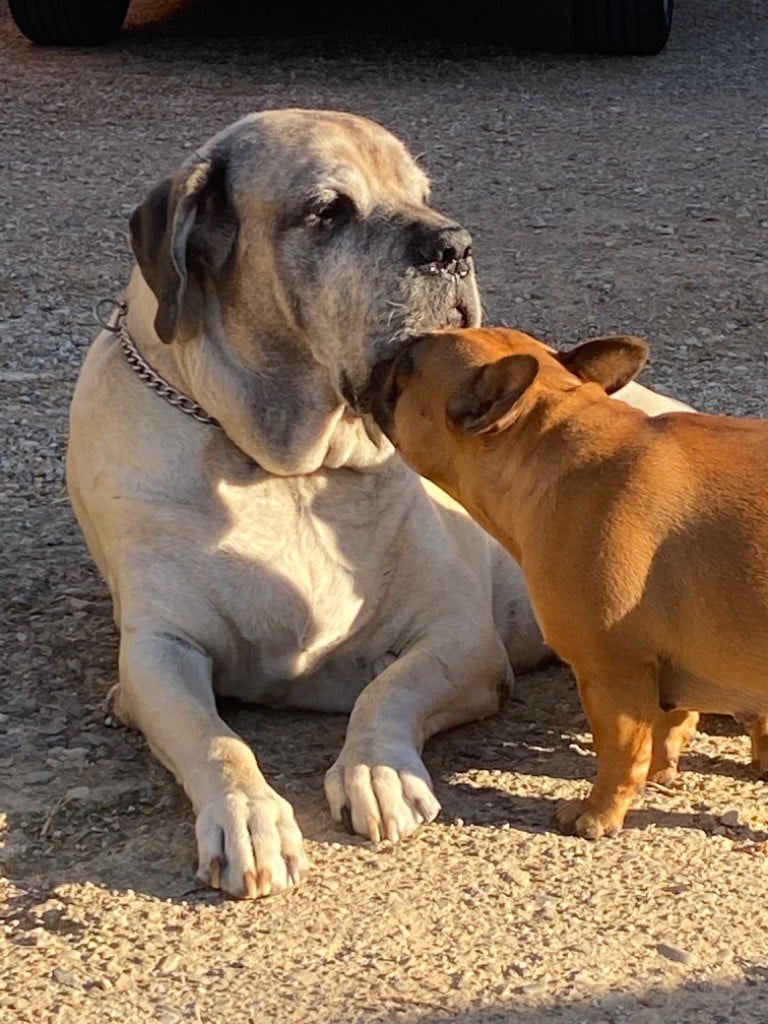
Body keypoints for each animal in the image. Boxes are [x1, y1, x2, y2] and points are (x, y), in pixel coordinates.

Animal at [67, 108, 692, 901]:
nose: (455, 245)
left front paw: (377, 770)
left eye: (423, 194)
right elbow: (213, 738)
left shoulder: (460, 637)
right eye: (328, 211)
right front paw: (248, 816)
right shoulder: (157, 651)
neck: (286, 472)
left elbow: (388, 690)